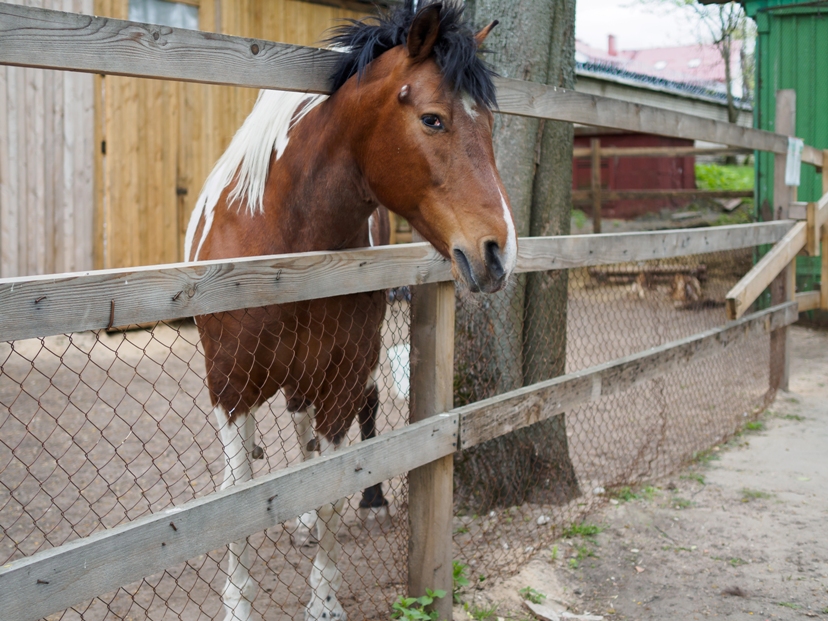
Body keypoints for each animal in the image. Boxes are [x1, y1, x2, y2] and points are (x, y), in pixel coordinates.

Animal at [184, 2, 516, 616]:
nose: (499, 252)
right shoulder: (230, 385)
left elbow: (331, 488)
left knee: (319, 431)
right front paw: (237, 603)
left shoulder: (340, 379)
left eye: (487, 125)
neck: (285, 242)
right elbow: (234, 500)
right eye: (433, 120)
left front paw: (324, 599)